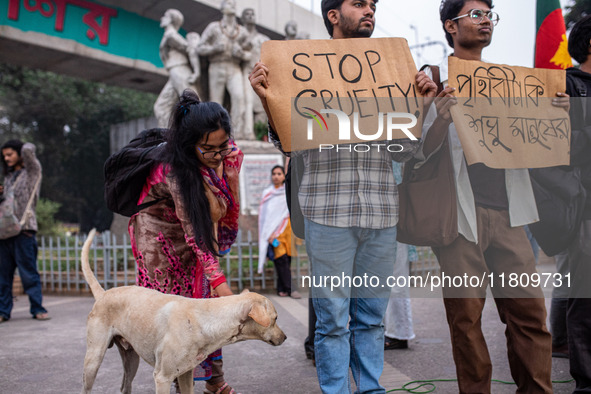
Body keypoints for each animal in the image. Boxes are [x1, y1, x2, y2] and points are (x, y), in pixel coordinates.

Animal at [81, 229, 286, 392]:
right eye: (275, 318)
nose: (285, 338)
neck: (205, 319)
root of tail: (103, 293)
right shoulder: (162, 378)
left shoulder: (186, 374)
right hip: (93, 359)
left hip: (131, 359)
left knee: (125, 386)